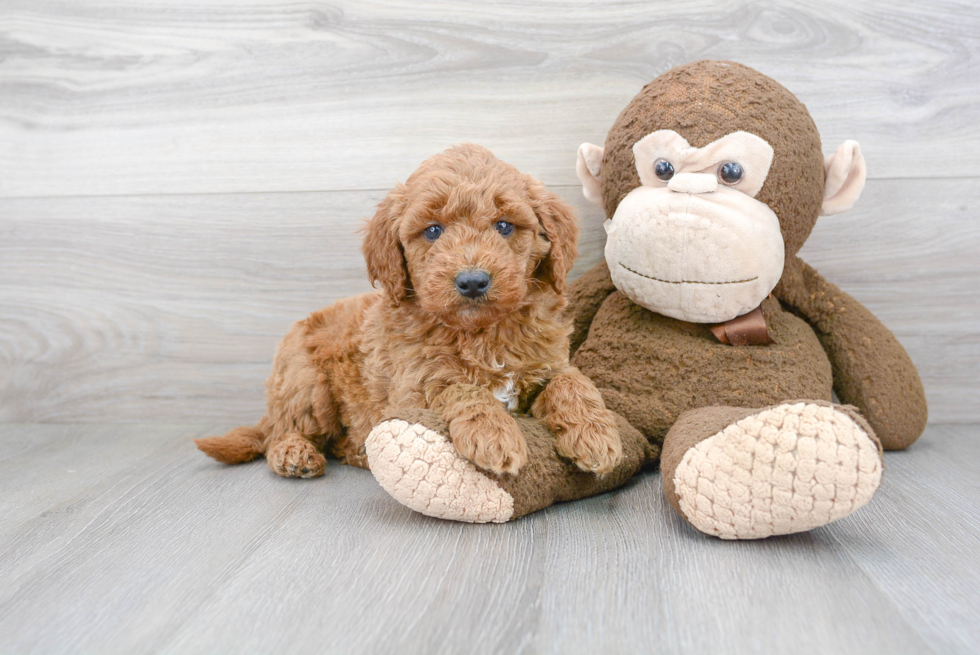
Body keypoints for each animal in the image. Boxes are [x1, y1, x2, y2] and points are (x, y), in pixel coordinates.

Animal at [196, 146, 624, 480]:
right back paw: (294, 454)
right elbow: (458, 388)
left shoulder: (548, 361)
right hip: (305, 383)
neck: (481, 333)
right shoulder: (412, 388)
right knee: (282, 430)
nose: (472, 281)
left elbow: (572, 382)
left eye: (504, 226)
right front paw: (494, 435)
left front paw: (596, 435)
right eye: (433, 231)